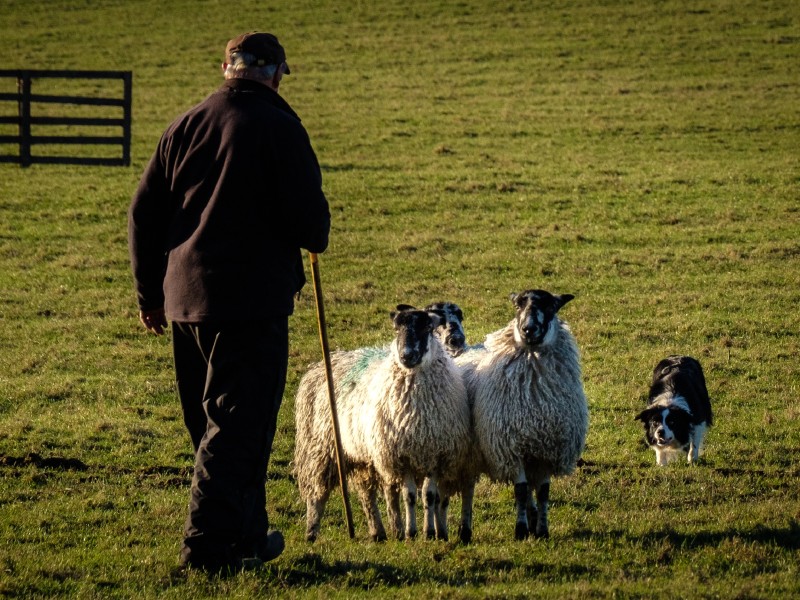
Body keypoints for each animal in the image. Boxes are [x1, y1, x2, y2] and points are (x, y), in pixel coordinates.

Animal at [293, 305, 472, 542]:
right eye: (396, 329)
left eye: (427, 327)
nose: (406, 355)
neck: (419, 416)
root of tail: (321, 365)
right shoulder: (401, 456)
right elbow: (410, 496)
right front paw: (411, 532)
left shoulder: (436, 455)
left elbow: (429, 496)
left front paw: (429, 532)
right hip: (322, 448)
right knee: (317, 492)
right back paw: (311, 532)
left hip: (361, 456)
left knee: (366, 493)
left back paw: (378, 531)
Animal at [465, 289, 588, 540]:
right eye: (518, 306)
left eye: (550, 306)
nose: (528, 329)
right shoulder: (512, 449)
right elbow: (521, 491)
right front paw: (521, 530)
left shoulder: (548, 450)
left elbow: (543, 492)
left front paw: (542, 529)